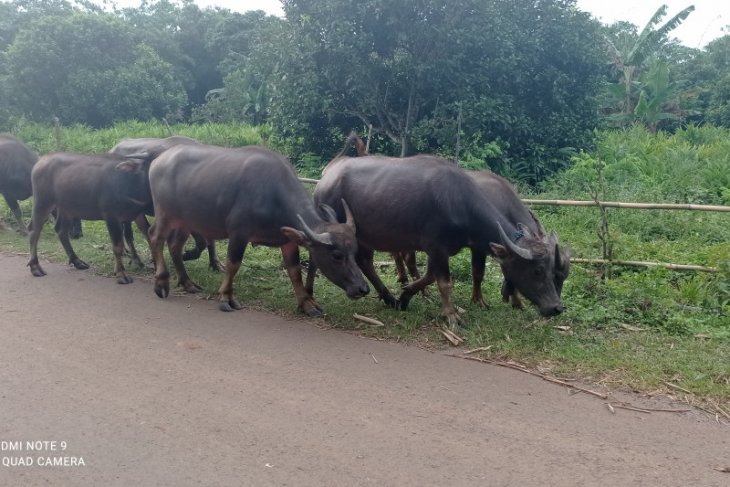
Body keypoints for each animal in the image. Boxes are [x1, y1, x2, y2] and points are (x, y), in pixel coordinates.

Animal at [28, 151, 152, 284]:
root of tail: (40, 162)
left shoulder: (138, 214)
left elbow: (148, 234)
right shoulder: (111, 217)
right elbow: (118, 246)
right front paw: (121, 273)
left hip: (66, 208)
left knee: (61, 230)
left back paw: (77, 261)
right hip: (42, 202)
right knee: (34, 231)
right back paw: (35, 267)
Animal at [146, 143, 370, 314]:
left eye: (355, 251)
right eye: (337, 255)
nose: (362, 288)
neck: (273, 195)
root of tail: (158, 161)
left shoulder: (288, 241)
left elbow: (295, 271)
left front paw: (307, 303)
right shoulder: (238, 233)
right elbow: (233, 264)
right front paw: (226, 297)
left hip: (185, 221)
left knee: (174, 246)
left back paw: (187, 283)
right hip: (165, 214)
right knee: (155, 236)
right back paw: (161, 282)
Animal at [310, 154, 564, 326]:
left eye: (553, 270)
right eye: (537, 271)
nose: (556, 307)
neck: (458, 202)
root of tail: (326, 177)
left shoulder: (439, 251)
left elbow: (429, 276)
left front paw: (405, 296)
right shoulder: (437, 247)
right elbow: (444, 282)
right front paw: (451, 315)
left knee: (365, 262)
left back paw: (389, 298)